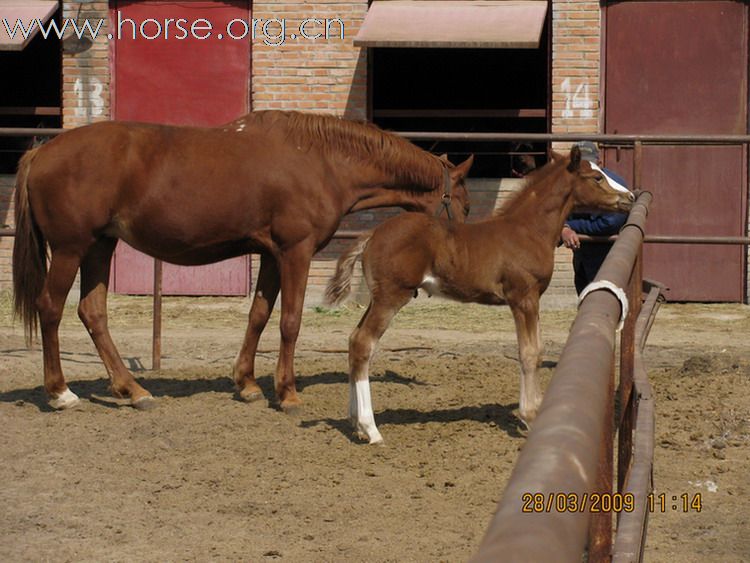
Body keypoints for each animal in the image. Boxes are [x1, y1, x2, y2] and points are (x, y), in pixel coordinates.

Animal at [14, 111, 472, 410]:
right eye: (464, 206)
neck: (321, 162)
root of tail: (44, 151)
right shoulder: (296, 250)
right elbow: (290, 321)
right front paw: (286, 393)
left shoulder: (270, 254)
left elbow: (258, 316)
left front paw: (248, 384)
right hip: (72, 248)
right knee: (50, 308)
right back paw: (60, 392)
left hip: (99, 246)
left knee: (93, 313)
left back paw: (132, 390)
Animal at [326, 148, 636, 448]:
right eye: (596, 178)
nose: (630, 197)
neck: (528, 230)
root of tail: (372, 234)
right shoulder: (523, 297)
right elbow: (528, 352)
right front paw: (529, 416)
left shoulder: (531, 299)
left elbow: (537, 351)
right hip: (391, 297)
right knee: (364, 343)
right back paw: (371, 428)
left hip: (377, 298)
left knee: (353, 340)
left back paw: (355, 423)